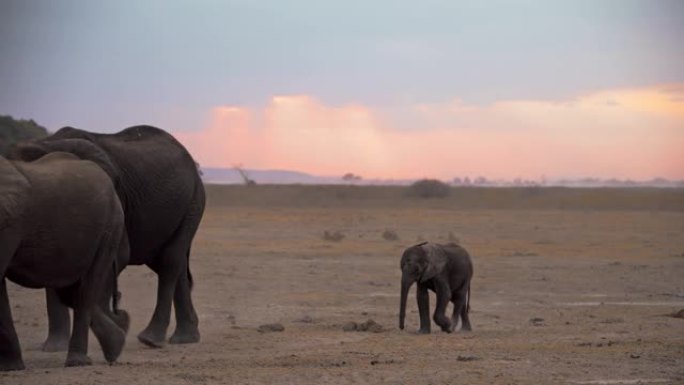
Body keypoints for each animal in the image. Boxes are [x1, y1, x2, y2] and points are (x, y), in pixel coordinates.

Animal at [1, 151, 128, 368]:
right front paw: (11, 368)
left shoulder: (7, 222)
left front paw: (10, 368)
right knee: (70, 293)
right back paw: (117, 345)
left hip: (109, 229)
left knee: (85, 291)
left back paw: (79, 361)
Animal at [10, 125, 206, 348]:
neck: (48, 144)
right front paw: (54, 348)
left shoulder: (114, 195)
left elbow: (117, 256)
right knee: (175, 261)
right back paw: (185, 338)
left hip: (193, 201)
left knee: (170, 260)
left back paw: (150, 339)